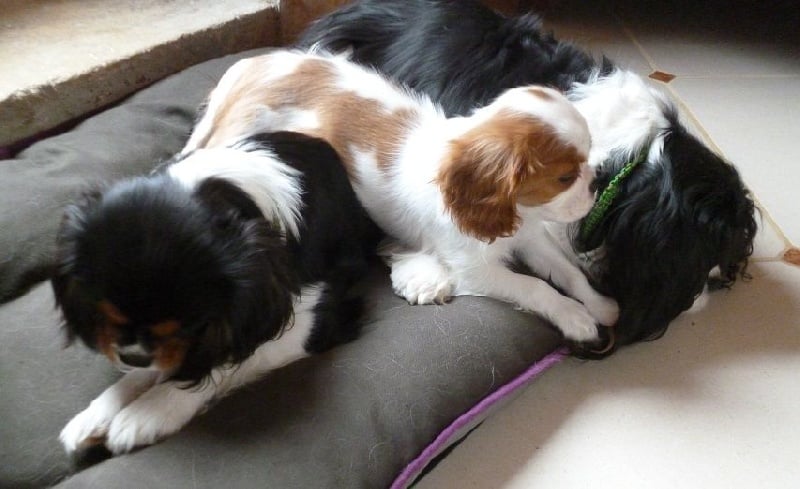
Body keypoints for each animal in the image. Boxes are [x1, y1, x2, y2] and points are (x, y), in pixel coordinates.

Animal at [52, 131, 377, 455]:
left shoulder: (316, 317)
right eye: (105, 312)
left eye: (191, 325)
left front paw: (150, 410)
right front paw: (100, 410)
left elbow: (228, 358)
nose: (133, 357)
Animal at [179, 49, 619, 347]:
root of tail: (253, 68)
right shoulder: (474, 269)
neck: (519, 212)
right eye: (565, 177)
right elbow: (536, 288)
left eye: (589, 157)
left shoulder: (530, 239)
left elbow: (567, 273)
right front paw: (574, 317)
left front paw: (599, 304)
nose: (597, 184)